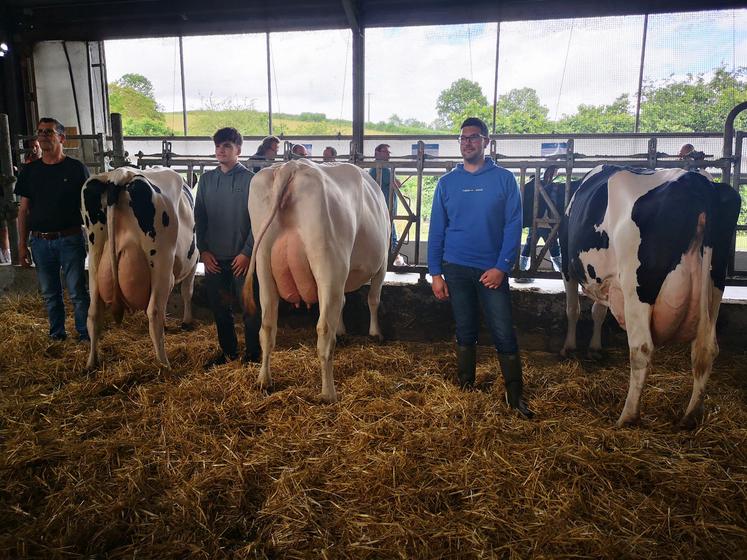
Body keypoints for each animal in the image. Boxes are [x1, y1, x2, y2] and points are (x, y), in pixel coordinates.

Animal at [82, 167, 199, 368]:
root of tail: (119, 175)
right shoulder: (194, 260)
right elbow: (187, 292)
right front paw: (186, 321)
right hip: (161, 261)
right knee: (154, 311)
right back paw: (164, 364)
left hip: (94, 256)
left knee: (93, 313)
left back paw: (91, 362)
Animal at [244, 159, 392, 402]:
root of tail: (291, 166)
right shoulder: (383, 264)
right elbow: (373, 299)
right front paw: (375, 333)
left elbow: (343, 302)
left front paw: (344, 329)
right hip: (328, 261)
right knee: (323, 331)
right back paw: (328, 393)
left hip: (263, 261)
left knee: (267, 326)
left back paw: (264, 380)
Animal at [560, 164, 744, 426]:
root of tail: (695, 181)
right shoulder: (607, 280)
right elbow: (598, 312)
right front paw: (594, 348)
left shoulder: (567, 263)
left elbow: (573, 309)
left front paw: (569, 347)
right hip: (715, 286)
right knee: (706, 349)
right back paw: (690, 415)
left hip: (637, 288)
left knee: (642, 349)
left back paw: (627, 416)